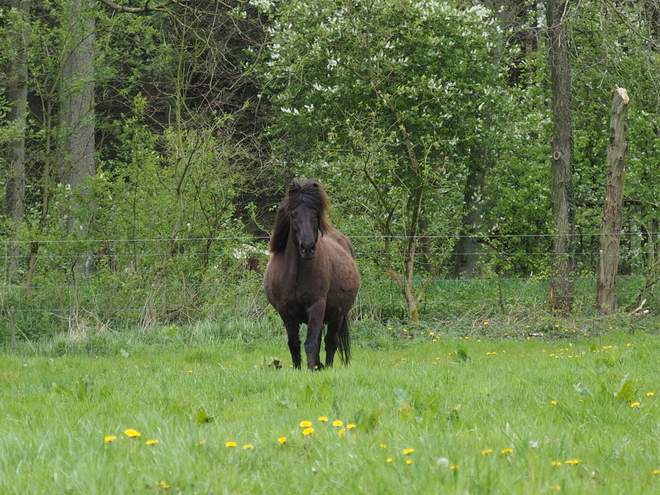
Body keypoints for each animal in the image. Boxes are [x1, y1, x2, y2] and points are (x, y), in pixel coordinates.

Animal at [262, 180, 360, 370]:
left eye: (315, 214)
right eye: (293, 215)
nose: (307, 248)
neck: (296, 274)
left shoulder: (316, 305)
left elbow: (311, 343)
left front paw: (309, 369)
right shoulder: (285, 311)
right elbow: (294, 344)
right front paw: (299, 369)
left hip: (337, 315)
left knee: (331, 342)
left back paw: (327, 367)